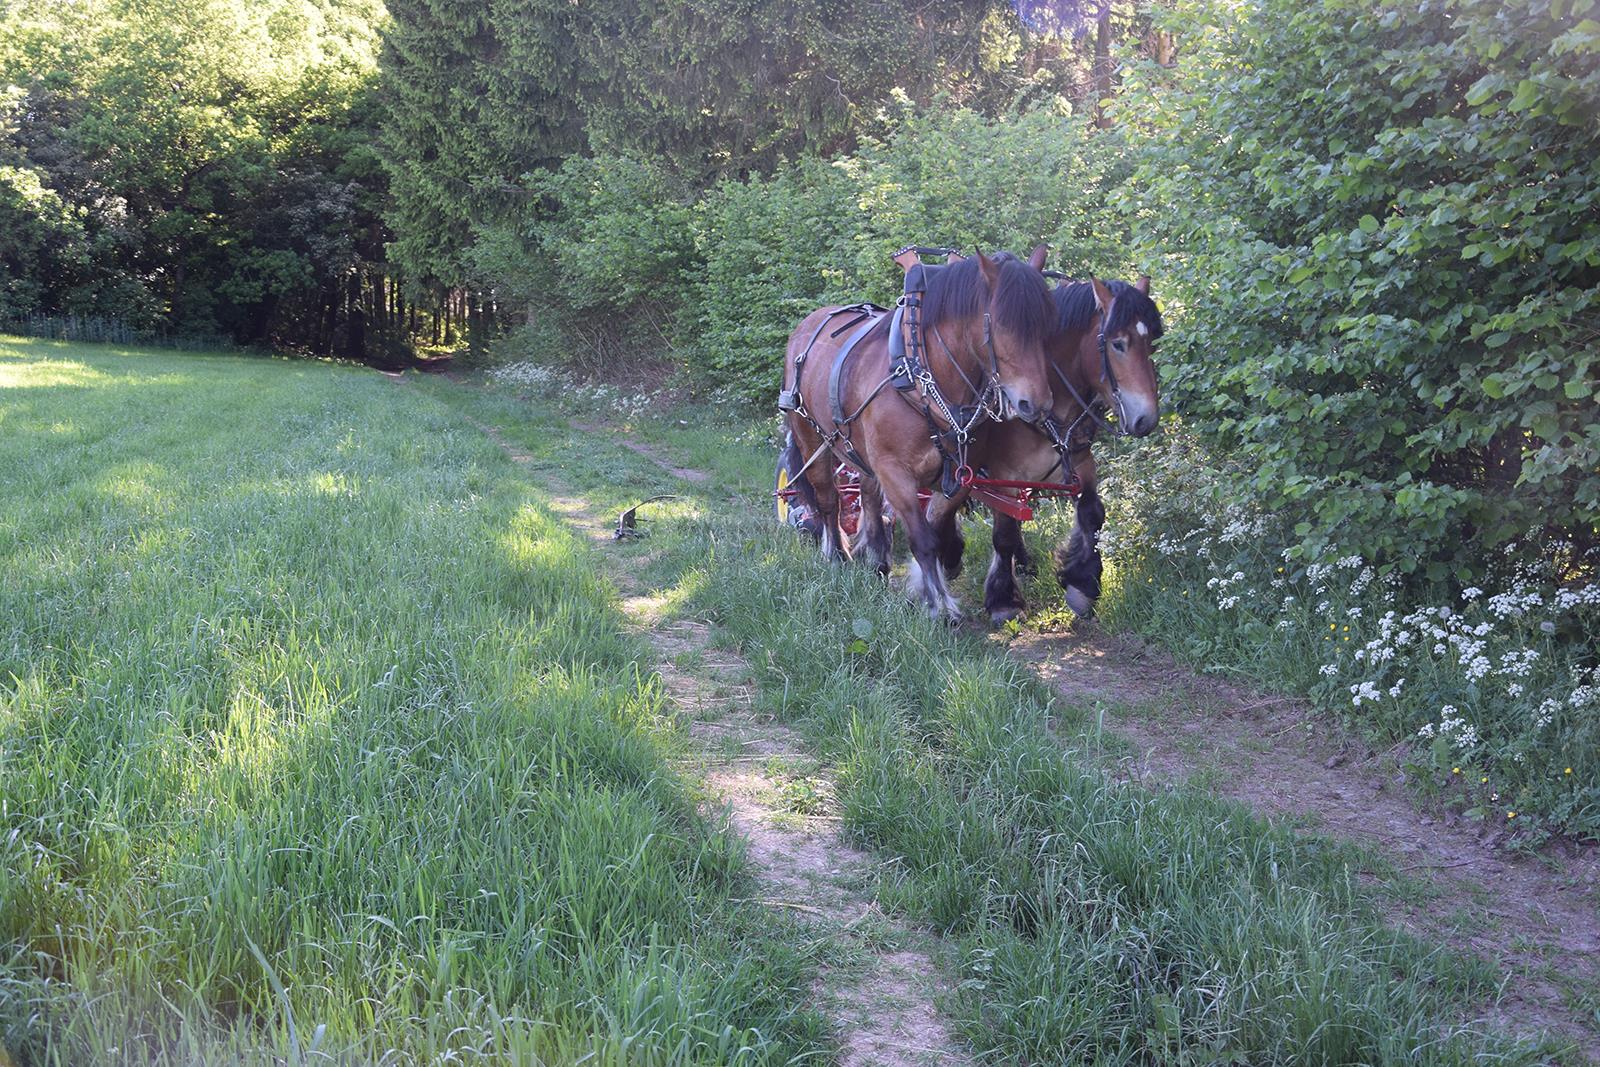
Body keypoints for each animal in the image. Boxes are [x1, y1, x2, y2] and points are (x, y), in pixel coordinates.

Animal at [777, 246, 1056, 620]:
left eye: (1048, 323)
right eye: (1000, 324)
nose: (1036, 404)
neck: (921, 376)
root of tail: (808, 324)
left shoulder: (960, 472)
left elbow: (935, 525)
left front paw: (938, 572)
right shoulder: (896, 472)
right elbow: (922, 539)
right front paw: (940, 605)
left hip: (861, 450)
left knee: (867, 496)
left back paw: (877, 559)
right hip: (811, 436)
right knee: (828, 500)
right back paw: (837, 555)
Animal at [972, 275, 1164, 627]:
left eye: (1152, 344)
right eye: (1118, 344)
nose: (1146, 420)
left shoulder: (1080, 463)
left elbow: (1092, 514)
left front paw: (1082, 583)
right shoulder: (1003, 476)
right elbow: (1003, 532)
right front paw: (1003, 600)